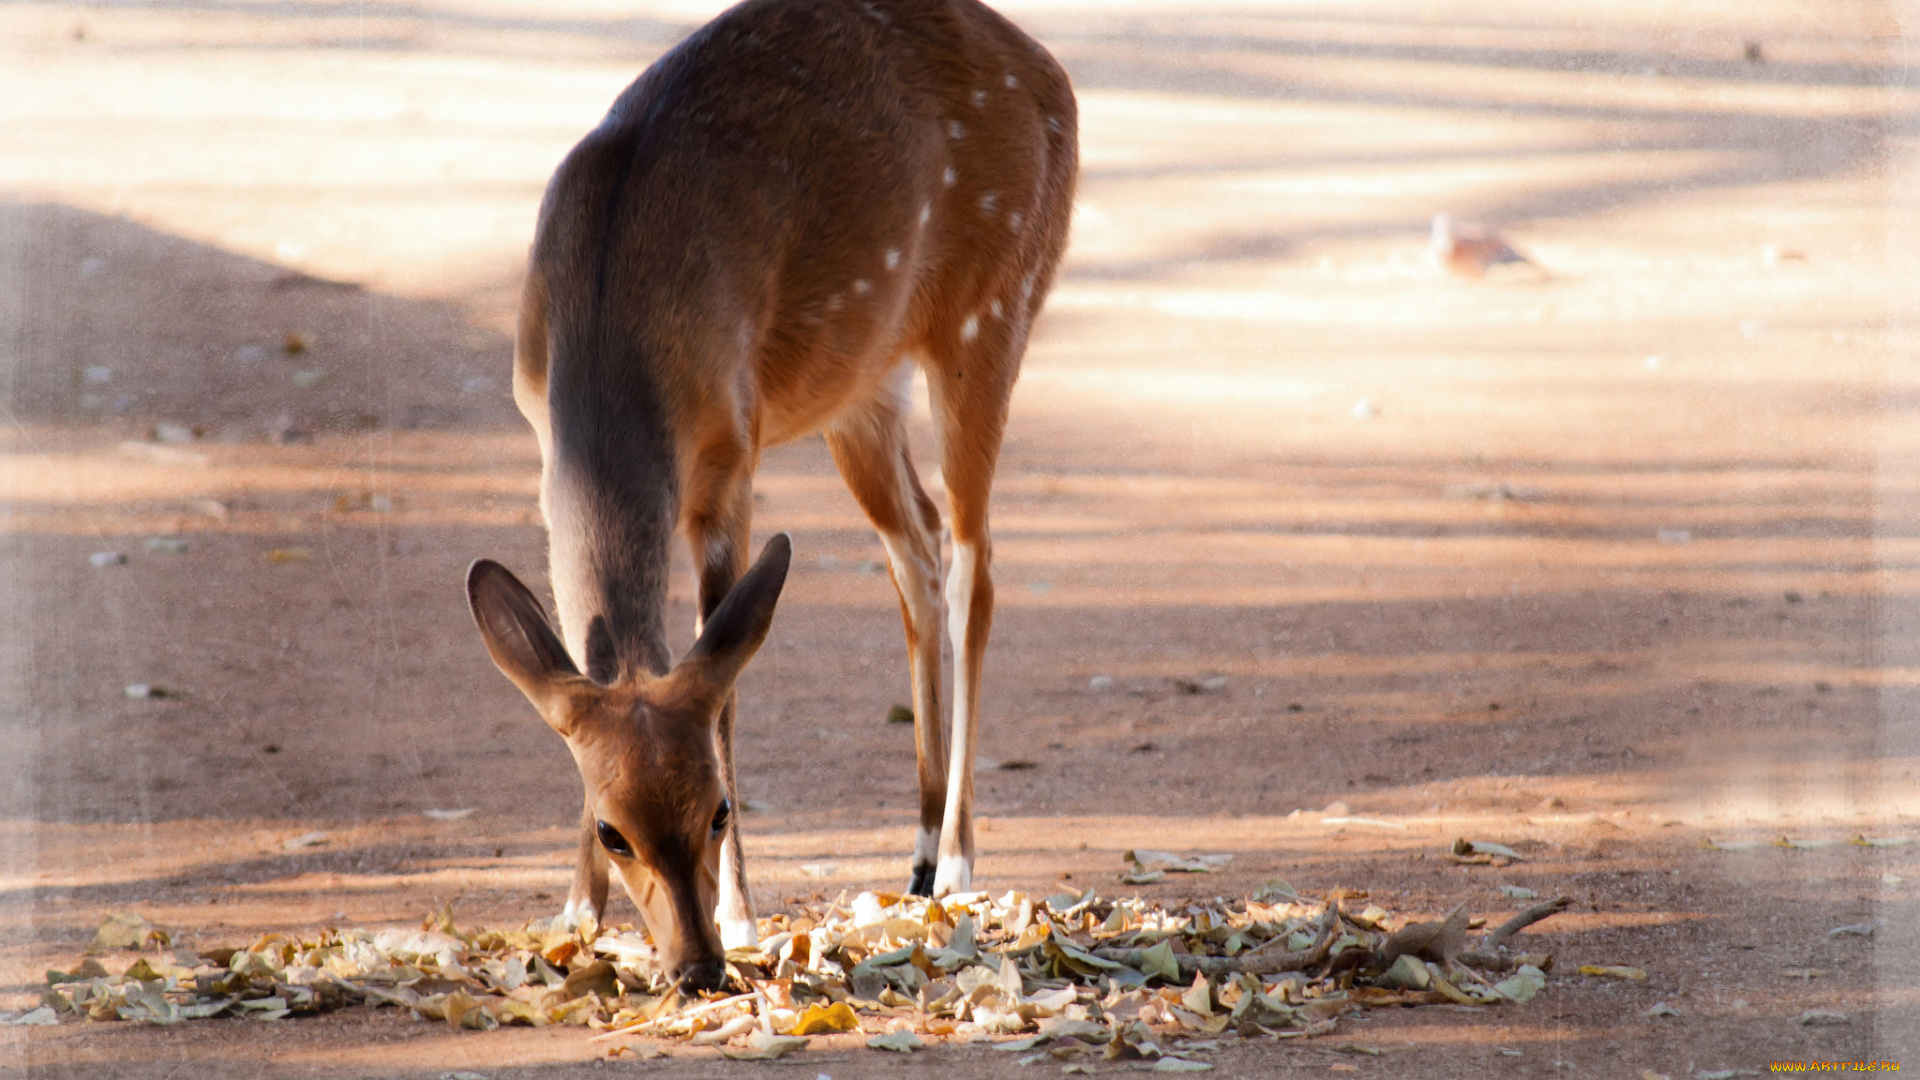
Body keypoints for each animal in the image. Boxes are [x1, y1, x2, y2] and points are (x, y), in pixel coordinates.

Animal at [458, 0, 1075, 991]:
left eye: (718, 809)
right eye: (613, 829)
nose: (697, 967)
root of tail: (1050, 73)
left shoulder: (730, 455)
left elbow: (728, 683)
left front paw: (745, 915)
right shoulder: (536, 429)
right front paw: (574, 914)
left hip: (993, 307)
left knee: (973, 564)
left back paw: (957, 859)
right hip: (860, 388)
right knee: (918, 547)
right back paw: (915, 854)